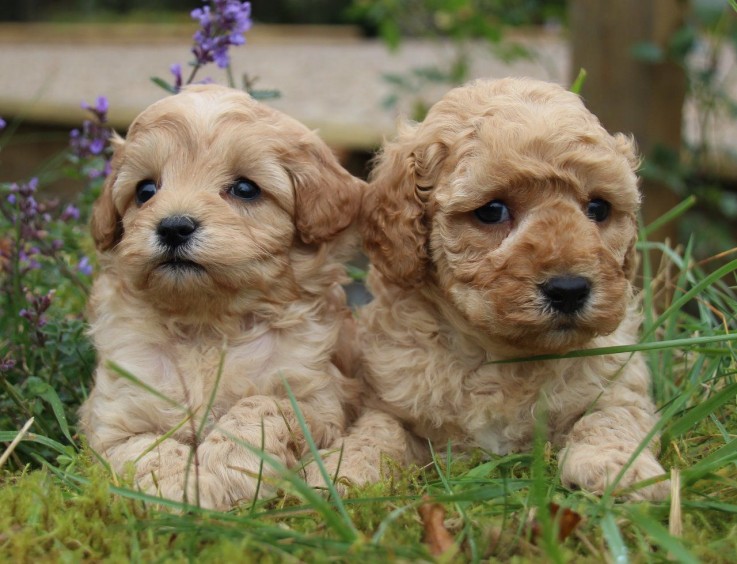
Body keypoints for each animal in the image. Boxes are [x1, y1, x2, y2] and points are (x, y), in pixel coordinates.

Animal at [80, 85, 362, 512]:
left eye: (245, 189)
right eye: (145, 191)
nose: (173, 226)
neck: (206, 324)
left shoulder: (321, 401)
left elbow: (261, 407)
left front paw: (224, 471)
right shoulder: (115, 412)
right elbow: (147, 449)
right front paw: (176, 488)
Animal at [314, 77, 668, 500]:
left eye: (598, 209)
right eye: (492, 211)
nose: (569, 289)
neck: (503, 359)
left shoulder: (619, 380)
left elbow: (610, 418)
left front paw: (619, 468)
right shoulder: (390, 397)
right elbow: (380, 429)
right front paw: (344, 470)